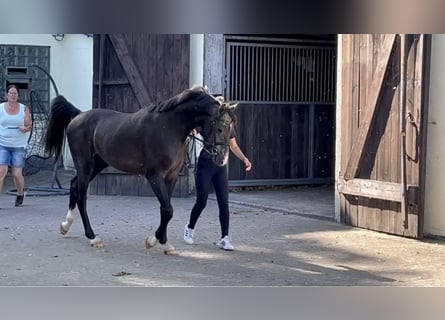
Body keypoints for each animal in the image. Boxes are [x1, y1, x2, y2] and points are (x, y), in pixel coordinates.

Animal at [43, 87, 236, 252]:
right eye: (220, 128)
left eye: (231, 128)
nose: (221, 158)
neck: (170, 127)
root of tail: (78, 116)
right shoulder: (154, 176)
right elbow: (168, 209)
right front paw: (152, 241)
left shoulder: (171, 176)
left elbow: (166, 209)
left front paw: (164, 243)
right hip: (84, 164)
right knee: (81, 196)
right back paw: (92, 237)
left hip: (97, 164)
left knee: (74, 186)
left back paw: (65, 225)